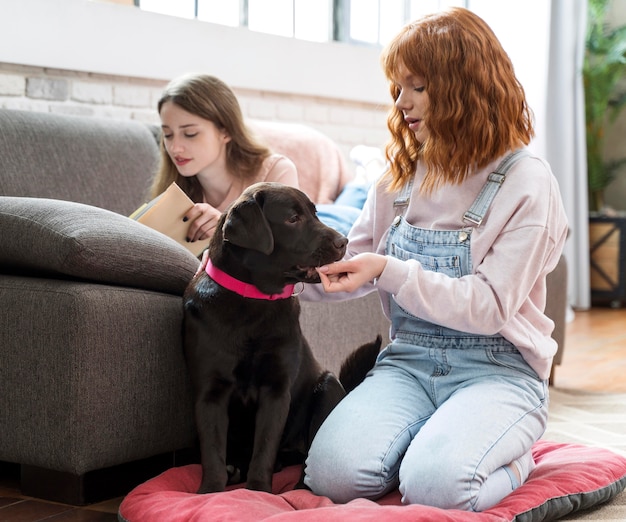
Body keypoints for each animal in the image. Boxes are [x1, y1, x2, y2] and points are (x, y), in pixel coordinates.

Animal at [178, 182, 378, 492]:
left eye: (315, 212)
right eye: (292, 219)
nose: (343, 241)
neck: (252, 301)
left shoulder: (276, 390)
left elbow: (264, 448)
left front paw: (258, 491)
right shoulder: (209, 392)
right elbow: (212, 451)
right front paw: (210, 491)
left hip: (328, 386)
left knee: (308, 462)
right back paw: (235, 469)